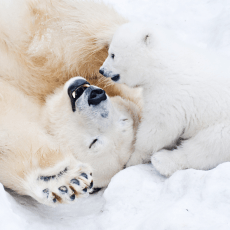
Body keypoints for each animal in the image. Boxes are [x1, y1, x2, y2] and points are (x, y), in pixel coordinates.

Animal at [100, 21, 230, 176]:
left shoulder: (169, 95)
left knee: (207, 146)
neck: (161, 65)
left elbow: (159, 127)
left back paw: (162, 161)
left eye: (113, 54)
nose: (102, 70)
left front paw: (133, 159)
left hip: (222, 126)